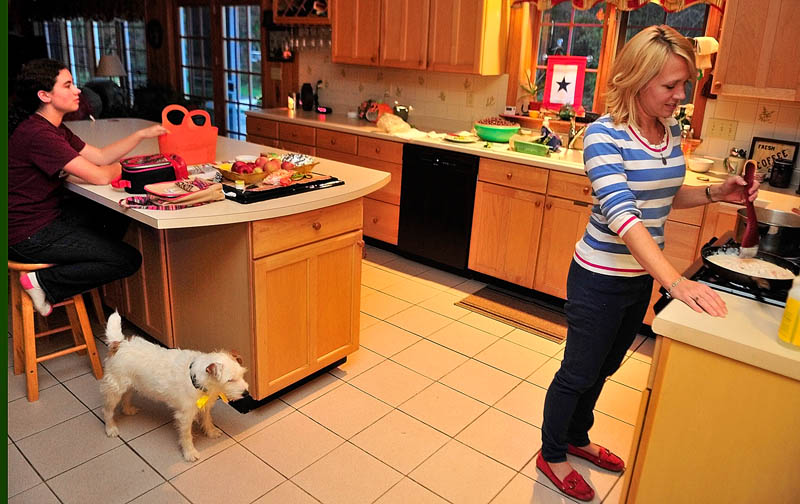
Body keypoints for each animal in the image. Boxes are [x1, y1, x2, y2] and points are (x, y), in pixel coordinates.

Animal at [101, 312, 250, 460]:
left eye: (242, 375)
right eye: (230, 380)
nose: (246, 394)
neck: (195, 379)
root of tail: (119, 344)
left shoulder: (205, 405)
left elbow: (207, 419)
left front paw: (211, 431)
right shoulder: (185, 416)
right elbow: (186, 436)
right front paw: (190, 453)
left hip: (129, 386)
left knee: (126, 397)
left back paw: (128, 410)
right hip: (114, 390)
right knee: (107, 411)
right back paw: (110, 428)